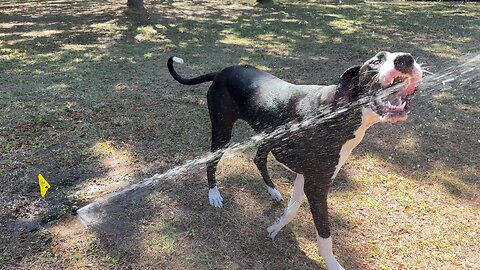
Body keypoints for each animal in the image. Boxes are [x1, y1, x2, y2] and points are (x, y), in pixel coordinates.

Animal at [167, 51, 422, 268]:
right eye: (376, 61)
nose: (406, 59)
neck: (341, 110)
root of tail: (220, 72)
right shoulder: (317, 185)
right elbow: (324, 234)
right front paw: (332, 264)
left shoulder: (308, 176)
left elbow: (293, 207)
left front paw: (276, 226)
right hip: (222, 132)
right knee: (212, 162)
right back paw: (214, 194)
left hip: (266, 135)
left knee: (259, 159)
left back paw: (272, 191)